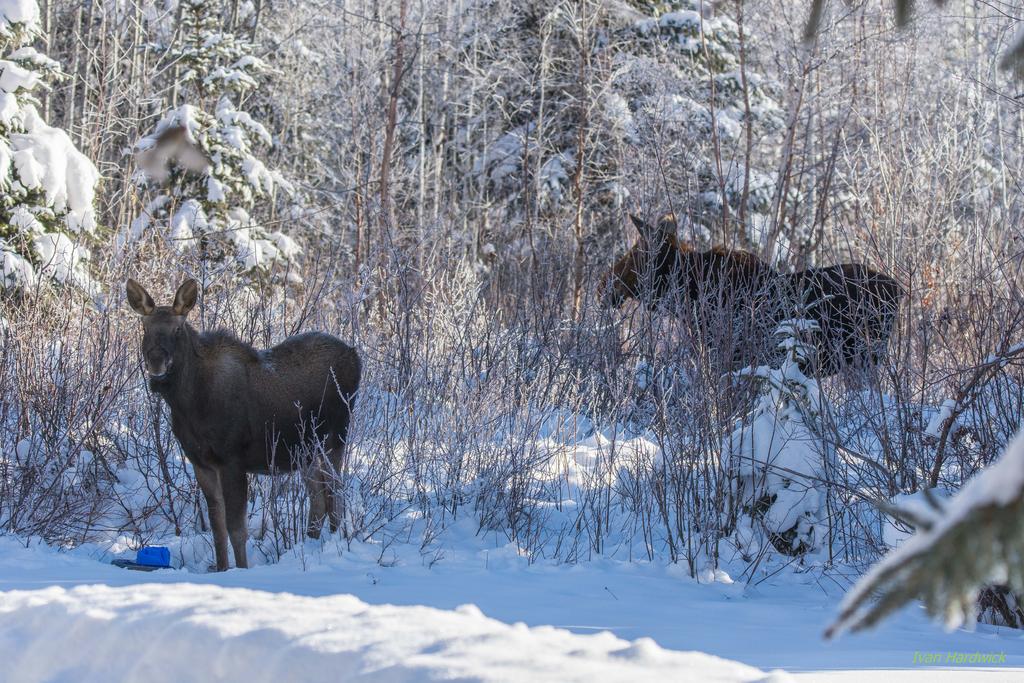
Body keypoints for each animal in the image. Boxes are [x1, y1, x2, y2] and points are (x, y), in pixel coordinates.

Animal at [126, 278, 361, 570]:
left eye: (177, 329)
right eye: (145, 327)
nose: (156, 362)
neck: (190, 404)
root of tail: (356, 357)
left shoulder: (232, 459)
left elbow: (237, 527)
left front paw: (241, 570)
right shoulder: (201, 462)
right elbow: (217, 527)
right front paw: (222, 568)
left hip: (335, 435)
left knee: (335, 492)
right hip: (303, 450)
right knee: (318, 496)